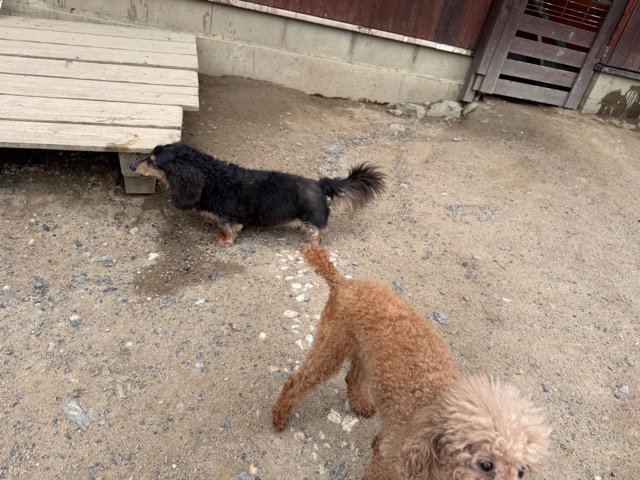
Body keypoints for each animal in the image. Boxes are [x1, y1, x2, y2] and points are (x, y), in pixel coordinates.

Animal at [129, 142, 386, 244]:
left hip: (312, 219)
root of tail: (320, 184)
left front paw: (224, 239)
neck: (209, 178)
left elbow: (229, 229)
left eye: (152, 161)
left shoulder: (229, 218)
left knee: (319, 232)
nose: (131, 166)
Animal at [271, 243, 551, 479]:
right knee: (298, 380)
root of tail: (344, 282)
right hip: (332, 346)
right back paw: (280, 417)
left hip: (366, 353)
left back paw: (360, 405)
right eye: (485, 464)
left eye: (522, 471)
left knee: (352, 377)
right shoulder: (387, 456)